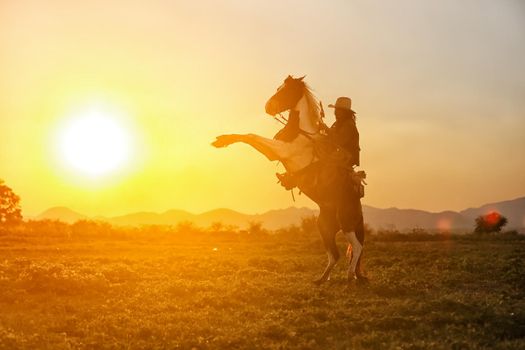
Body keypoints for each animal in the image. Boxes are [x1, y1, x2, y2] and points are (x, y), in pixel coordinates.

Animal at [211, 74, 366, 284]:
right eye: (279, 88)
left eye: (287, 91)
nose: (268, 107)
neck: (301, 133)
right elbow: (249, 136)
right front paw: (222, 139)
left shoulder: (278, 151)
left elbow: (251, 136)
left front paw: (222, 141)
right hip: (325, 226)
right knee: (335, 254)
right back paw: (321, 279)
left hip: (346, 224)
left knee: (356, 248)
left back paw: (350, 276)